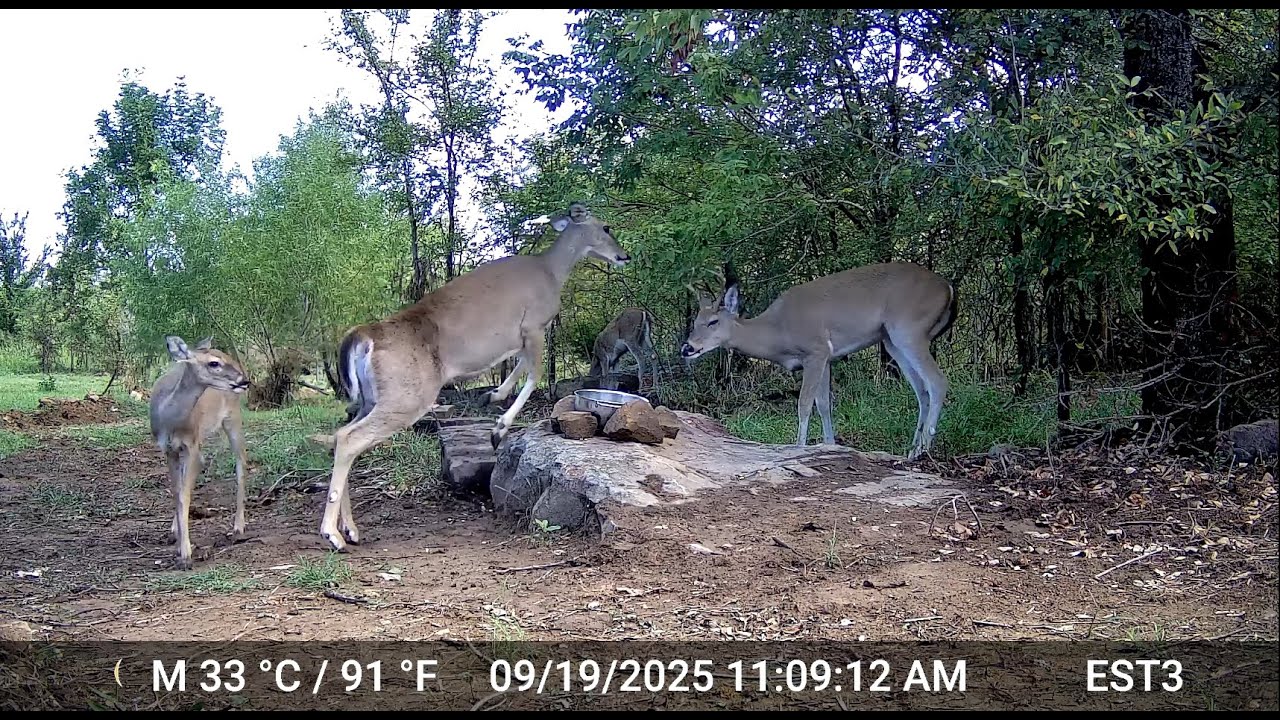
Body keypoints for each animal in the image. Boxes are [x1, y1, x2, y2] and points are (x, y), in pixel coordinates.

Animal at [148, 335, 251, 570]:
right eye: (214, 363)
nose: (244, 380)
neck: (170, 421)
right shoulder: (168, 449)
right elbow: (177, 492)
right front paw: (178, 541)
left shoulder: (191, 444)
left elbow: (184, 494)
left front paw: (185, 553)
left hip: (233, 417)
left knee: (241, 463)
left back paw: (238, 527)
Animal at [318, 202, 631, 552]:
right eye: (606, 227)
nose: (625, 256)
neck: (552, 271)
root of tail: (364, 335)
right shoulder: (534, 324)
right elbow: (534, 374)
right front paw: (497, 429)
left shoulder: (519, 337)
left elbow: (520, 367)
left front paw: (492, 395)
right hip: (407, 396)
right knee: (349, 439)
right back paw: (332, 534)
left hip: (371, 398)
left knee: (341, 435)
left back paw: (351, 529)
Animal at [680, 262, 958, 461]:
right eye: (695, 321)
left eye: (713, 321)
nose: (687, 347)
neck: (778, 332)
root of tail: (948, 287)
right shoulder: (828, 358)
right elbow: (824, 404)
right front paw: (830, 444)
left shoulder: (815, 350)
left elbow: (804, 403)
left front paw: (799, 446)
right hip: (891, 340)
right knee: (922, 391)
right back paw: (911, 450)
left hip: (909, 329)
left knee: (937, 382)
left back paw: (924, 450)